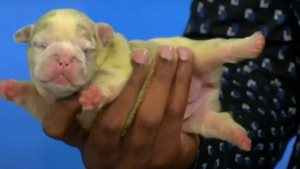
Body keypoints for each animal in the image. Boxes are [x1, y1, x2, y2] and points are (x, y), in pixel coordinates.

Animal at [0, 8, 264, 151]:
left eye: (87, 50)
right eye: (40, 45)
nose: (64, 58)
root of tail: (211, 88)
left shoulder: (119, 60)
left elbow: (109, 78)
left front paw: (93, 94)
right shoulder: (46, 106)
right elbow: (31, 96)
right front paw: (10, 87)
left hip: (200, 52)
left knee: (223, 48)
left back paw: (252, 43)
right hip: (199, 120)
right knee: (220, 122)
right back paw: (241, 137)